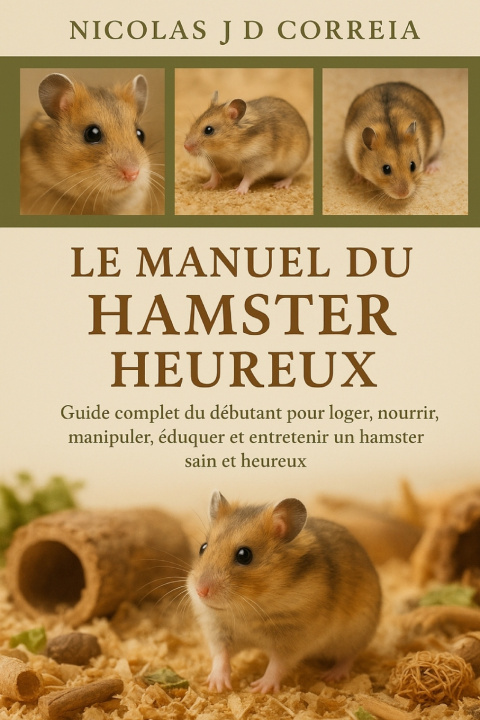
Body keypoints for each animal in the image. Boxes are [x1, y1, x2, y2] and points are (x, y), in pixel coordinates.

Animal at [188, 492, 381, 694]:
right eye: (203, 547)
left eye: (244, 555)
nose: (200, 591)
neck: (247, 609)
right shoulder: (218, 630)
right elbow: (221, 655)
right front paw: (216, 685)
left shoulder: (293, 638)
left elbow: (277, 664)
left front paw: (260, 688)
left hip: (356, 634)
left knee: (348, 657)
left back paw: (331, 676)